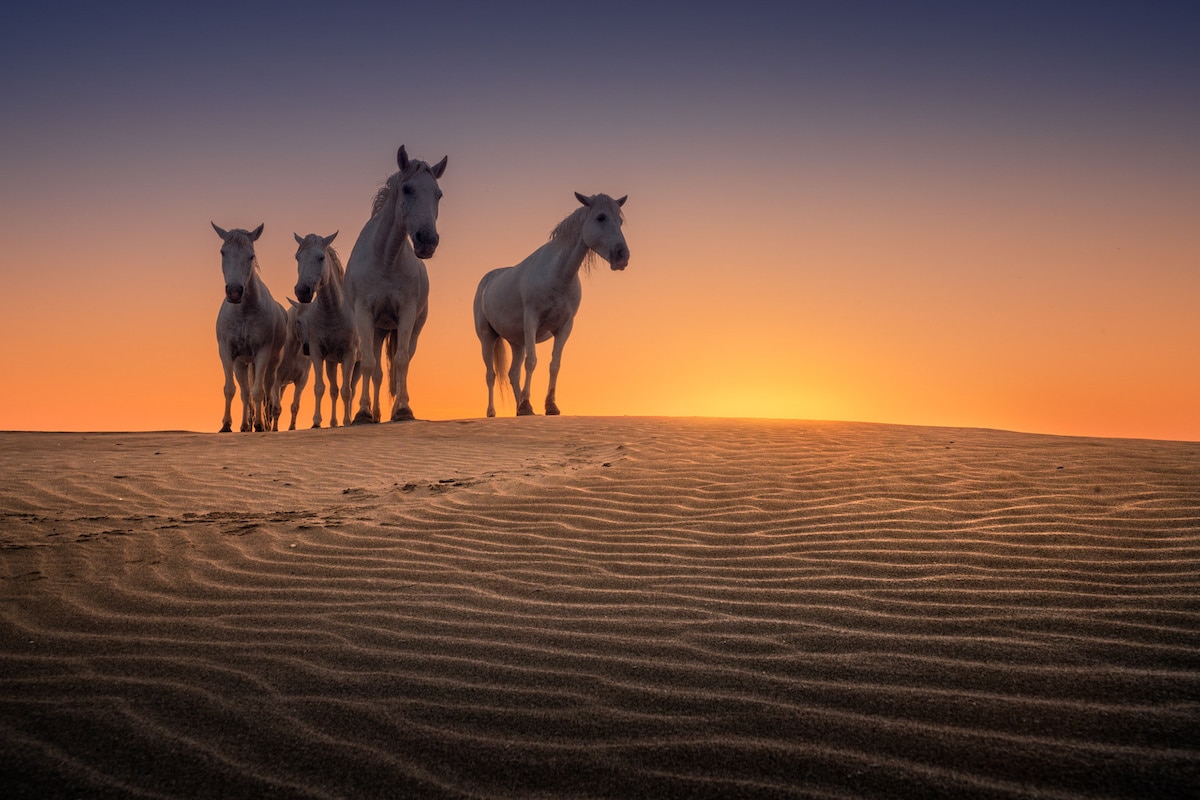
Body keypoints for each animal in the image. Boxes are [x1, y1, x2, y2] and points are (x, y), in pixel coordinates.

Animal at [211, 221, 285, 434]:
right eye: (223, 252)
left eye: (251, 255)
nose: (234, 292)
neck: (243, 312)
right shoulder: (226, 352)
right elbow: (231, 389)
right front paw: (226, 425)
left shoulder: (262, 353)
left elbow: (258, 391)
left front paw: (259, 425)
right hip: (241, 363)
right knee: (245, 393)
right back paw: (245, 425)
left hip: (272, 363)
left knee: (266, 392)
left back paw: (265, 424)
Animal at [291, 231, 357, 429]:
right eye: (298, 257)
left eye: (321, 257)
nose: (302, 291)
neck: (332, 312)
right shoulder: (317, 353)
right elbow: (321, 388)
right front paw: (316, 422)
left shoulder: (350, 354)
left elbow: (347, 391)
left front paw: (347, 421)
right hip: (332, 363)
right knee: (334, 390)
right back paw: (334, 422)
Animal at [345, 148, 448, 424]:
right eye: (407, 188)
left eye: (438, 194)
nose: (428, 241)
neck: (386, 260)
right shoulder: (364, 315)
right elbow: (369, 364)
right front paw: (363, 413)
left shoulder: (407, 314)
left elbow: (401, 360)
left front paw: (403, 410)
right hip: (379, 330)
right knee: (377, 372)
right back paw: (375, 413)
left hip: (413, 328)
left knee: (403, 362)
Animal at [472, 191, 633, 419]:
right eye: (600, 217)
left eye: (619, 221)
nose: (622, 256)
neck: (558, 275)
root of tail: (486, 281)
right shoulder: (531, 320)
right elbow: (532, 362)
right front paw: (527, 405)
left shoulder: (565, 327)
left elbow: (555, 364)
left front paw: (549, 406)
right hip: (487, 338)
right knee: (491, 375)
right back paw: (494, 411)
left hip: (517, 342)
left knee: (513, 373)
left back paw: (520, 408)